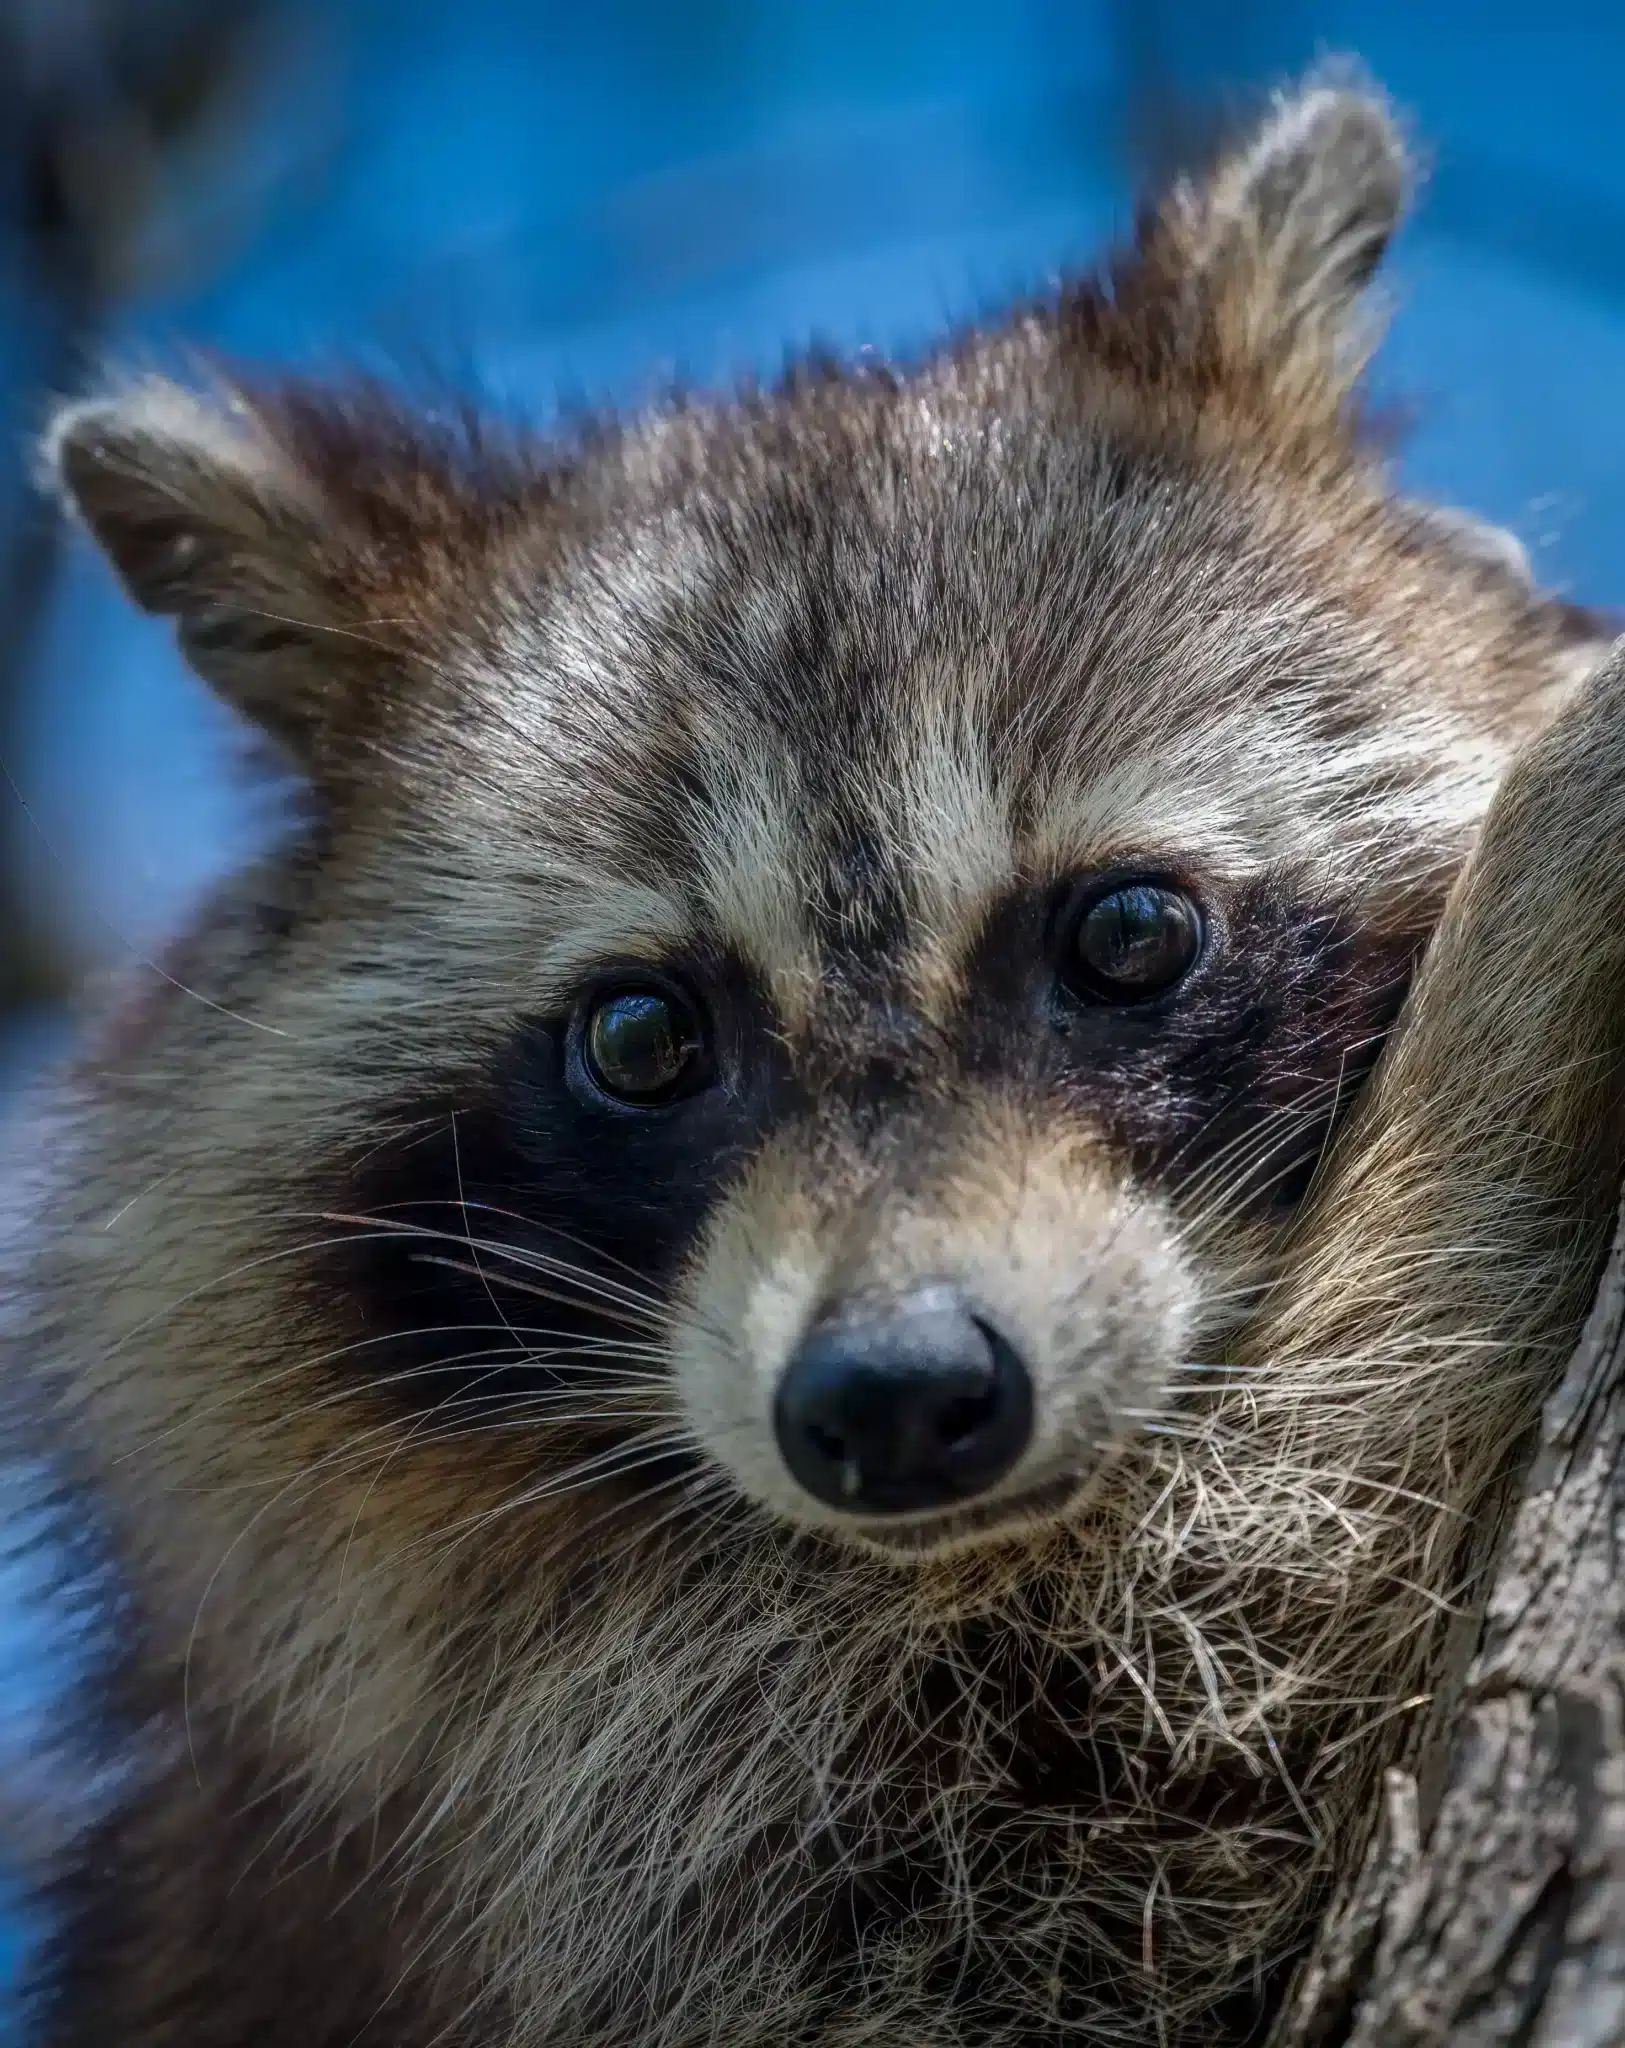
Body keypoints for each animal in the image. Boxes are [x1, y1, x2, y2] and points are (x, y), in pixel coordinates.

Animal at [9, 72, 1622, 2048]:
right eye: (641, 1035)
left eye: (1128, 936)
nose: (896, 1394)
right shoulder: (585, 1818)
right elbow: (1166, 1746)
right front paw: (1514, 981)